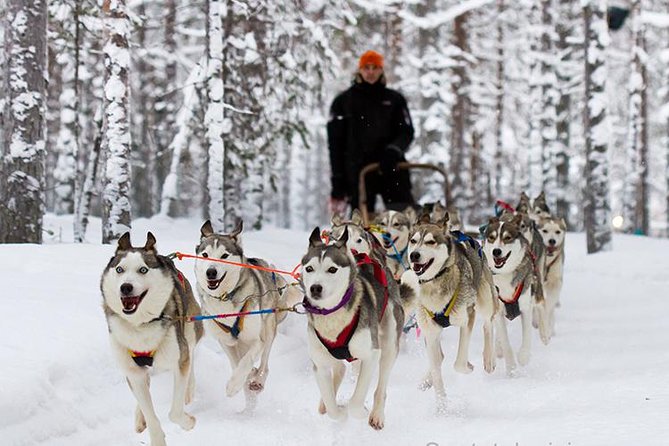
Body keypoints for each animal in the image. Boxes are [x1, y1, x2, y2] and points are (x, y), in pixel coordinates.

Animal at [100, 232, 202, 446]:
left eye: (143, 269)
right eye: (120, 269)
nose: (126, 287)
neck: (140, 324)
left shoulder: (179, 358)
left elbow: (174, 412)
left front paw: (188, 422)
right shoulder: (133, 372)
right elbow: (150, 412)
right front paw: (154, 433)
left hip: (189, 329)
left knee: (190, 355)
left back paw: (189, 390)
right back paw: (139, 417)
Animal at [193, 220, 298, 408]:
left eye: (224, 255)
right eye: (205, 254)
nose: (211, 272)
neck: (224, 297)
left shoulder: (257, 340)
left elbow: (246, 361)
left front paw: (234, 386)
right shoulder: (226, 342)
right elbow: (237, 364)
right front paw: (242, 380)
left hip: (268, 330)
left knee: (264, 365)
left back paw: (258, 381)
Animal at [300, 226, 404, 428]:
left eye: (332, 269)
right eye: (309, 268)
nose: (315, 288)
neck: (331, 313)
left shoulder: (371, 354)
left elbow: (356, 401)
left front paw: (359, 411)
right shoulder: (320, 365)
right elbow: (332, 409)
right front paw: (338, 412)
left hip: (389, 343)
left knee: (381, 386)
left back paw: (377, 414)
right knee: (340, 368)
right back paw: (325, 403)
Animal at [402, 213, 496, 412]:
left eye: (430, 242)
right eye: (413, 241)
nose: (414, 255)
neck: (435, 282)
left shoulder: (467, 317)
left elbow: (459, 363)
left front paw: (468, 367)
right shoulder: (429, 331)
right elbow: (437, 370)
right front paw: (441, 407)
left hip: (485, 299)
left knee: (488, 324)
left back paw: (489, 359)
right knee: (438, 358)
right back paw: (425, 381)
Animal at [482, 217, 544, 372]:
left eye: (507, 238)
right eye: (491, 238)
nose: (496, 251)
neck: (505, 274)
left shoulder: (526, 307)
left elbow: (527, 335)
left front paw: (523, 357)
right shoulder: (498, 311)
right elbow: (505, 341)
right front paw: (511, 367)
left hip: (537, 287)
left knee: (542, 306)